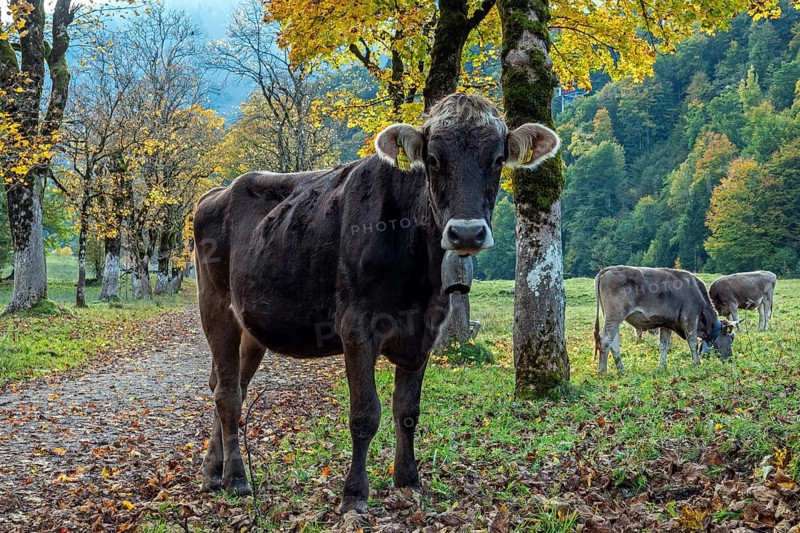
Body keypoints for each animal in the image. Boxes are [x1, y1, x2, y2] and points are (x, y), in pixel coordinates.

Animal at [192, 93, 561, 512]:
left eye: (498, 159)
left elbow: (408, 410)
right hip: (216, 307)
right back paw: (236, 478)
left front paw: (408, 480)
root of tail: (217, 191)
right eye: (433, 159)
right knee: (228, 394)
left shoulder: (425, 330)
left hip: (252, 325)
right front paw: (354, 494)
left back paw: (212, 471)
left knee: (228, 383)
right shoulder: (356, 327)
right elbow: (365, 414)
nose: (466, 233)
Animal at [593, 266, 736, 373]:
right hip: (614, 317)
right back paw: (602, 371)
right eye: (731, 339)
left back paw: (622, 370)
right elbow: (692, 343)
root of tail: (606, 270)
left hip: (612, 319)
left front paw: (662, 367)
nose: (730, 356)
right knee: (606, 340)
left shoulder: (666, 324)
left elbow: (664, 345)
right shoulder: (690, 318)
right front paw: (697, 363)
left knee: (614, 343)